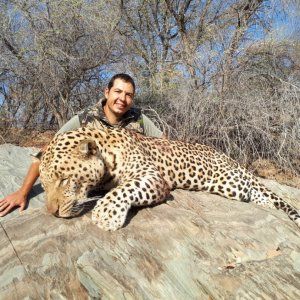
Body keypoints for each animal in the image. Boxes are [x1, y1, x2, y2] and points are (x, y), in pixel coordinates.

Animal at [38, 125, 300, 231]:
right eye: (44, 186)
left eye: (63, 179)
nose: (52, 213)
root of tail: (233, 159)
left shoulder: (151, 175)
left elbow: (124, 189)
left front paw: (106, 215)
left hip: (230, 182)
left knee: (253, 192)